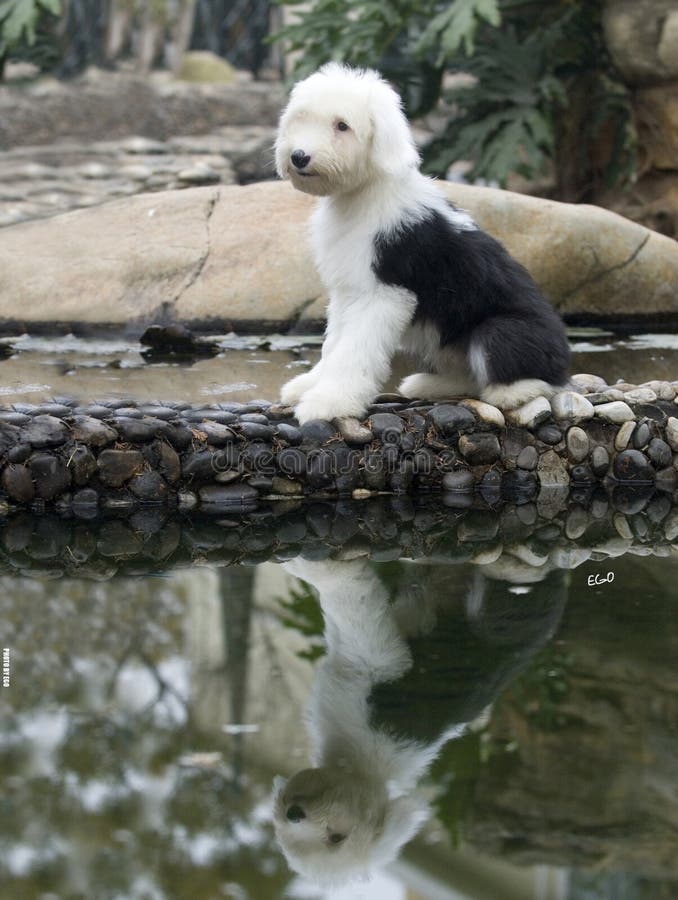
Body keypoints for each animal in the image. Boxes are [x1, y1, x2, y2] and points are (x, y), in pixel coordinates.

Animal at [276, 63, 572, 426]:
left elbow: (354, 350)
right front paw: (309, 386)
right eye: (301, 118)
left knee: (540, 378)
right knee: (468, 378)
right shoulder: (348, 290)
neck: (363, 196)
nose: (299, 156)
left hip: (502, 328)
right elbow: (334, 345)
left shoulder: (383, 294)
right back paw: (427, 385)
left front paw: (328, 402)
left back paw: (511, 391)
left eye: (342, 125)